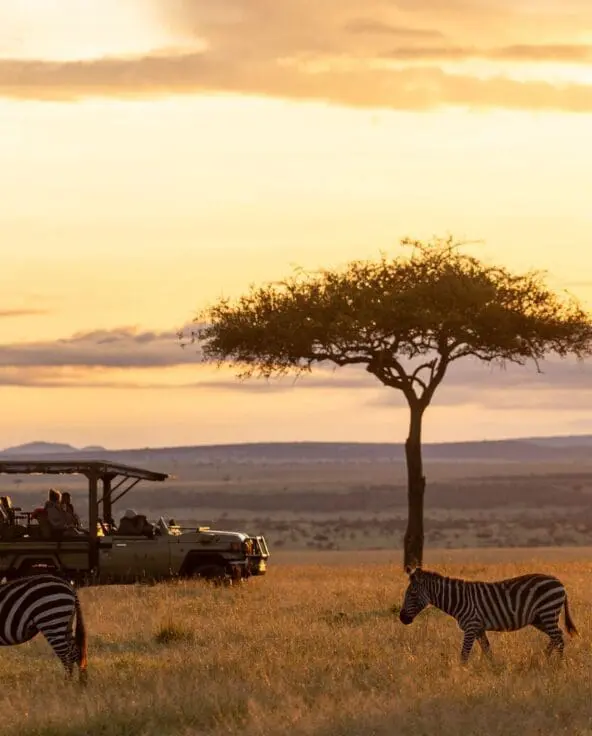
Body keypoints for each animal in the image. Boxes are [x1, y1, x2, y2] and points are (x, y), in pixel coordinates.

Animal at [399, 567, 578, 663]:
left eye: (412, 594)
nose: (402, 618)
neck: (458, 599)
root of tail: (559, 582)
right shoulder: (479, 628)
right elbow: (487, 651)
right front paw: (494, 669)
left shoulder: (471, 626)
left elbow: (464, 654)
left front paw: (462, 674)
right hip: (539, 618)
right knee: (557, 636)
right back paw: (543, 658)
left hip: (548, 612)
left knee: (558, 637)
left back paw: (557, 664)